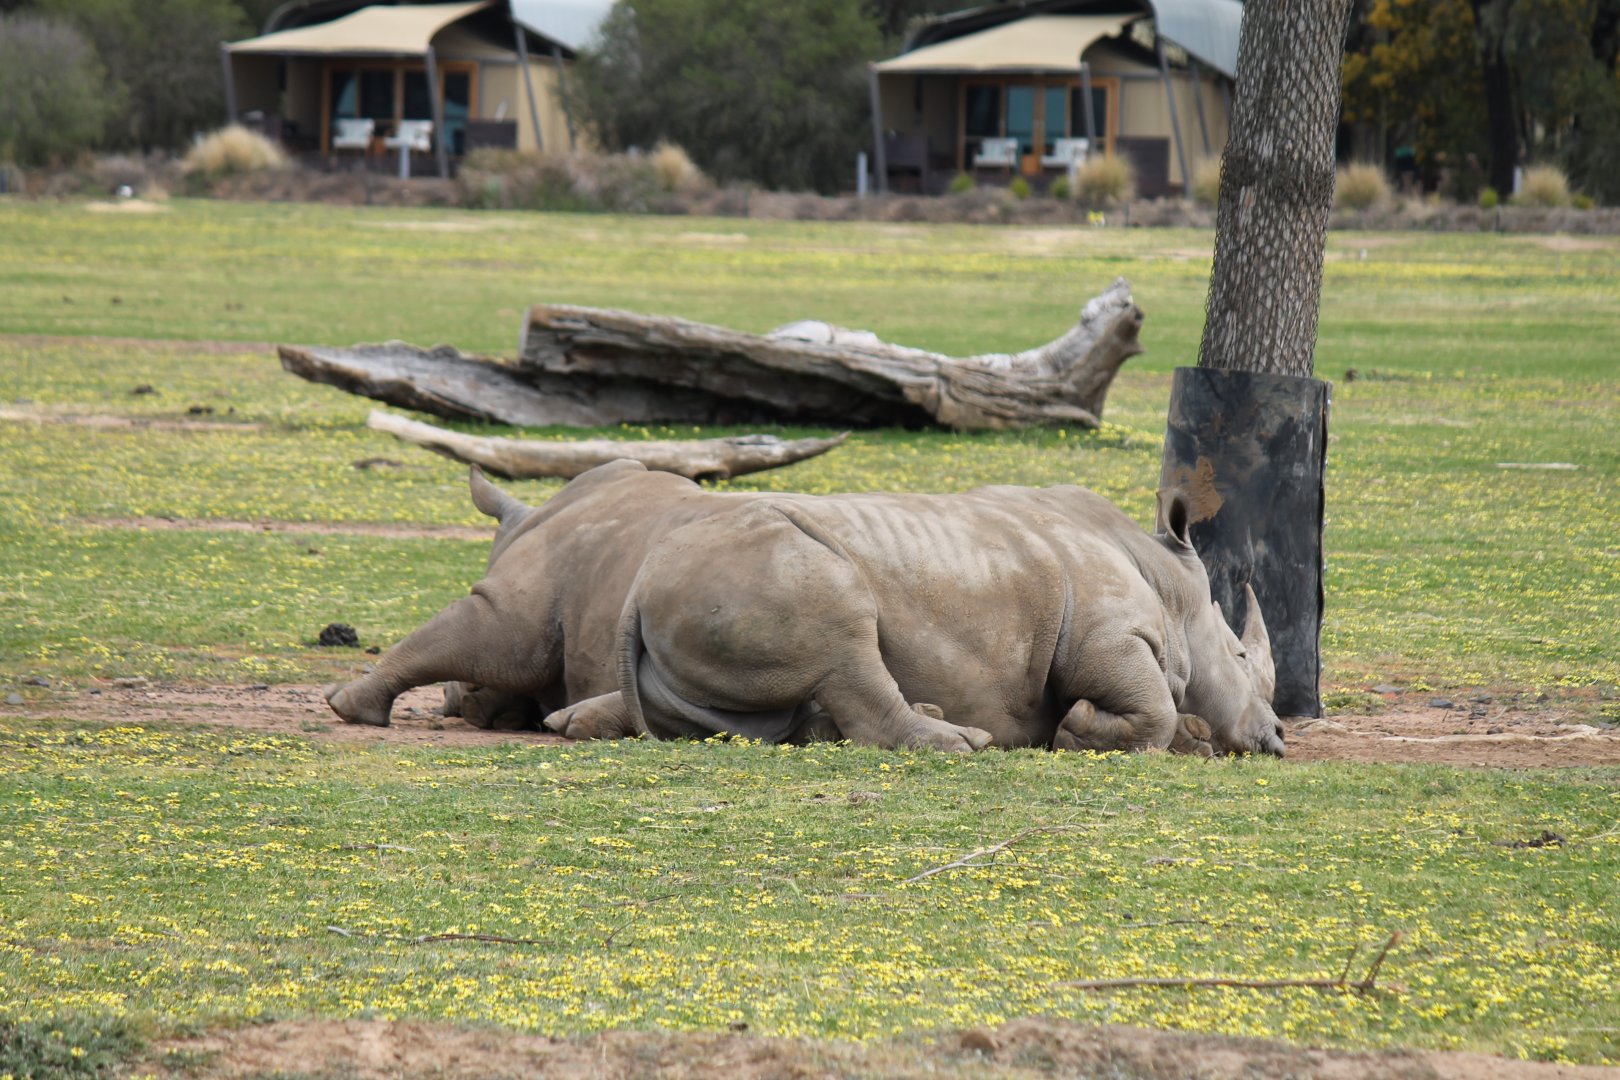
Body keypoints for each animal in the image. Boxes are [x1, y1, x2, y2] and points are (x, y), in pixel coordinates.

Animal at [611, 484, 1284, 756]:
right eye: (1241, 656)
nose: (1278, 737)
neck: (1170, 590)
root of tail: (638, 590)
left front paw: (1193, 740)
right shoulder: (1109, 637)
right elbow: (1154, 707)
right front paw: (1077, 729)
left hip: (695, 600)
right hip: (768, 565)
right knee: (845, 636)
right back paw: (964, 743)